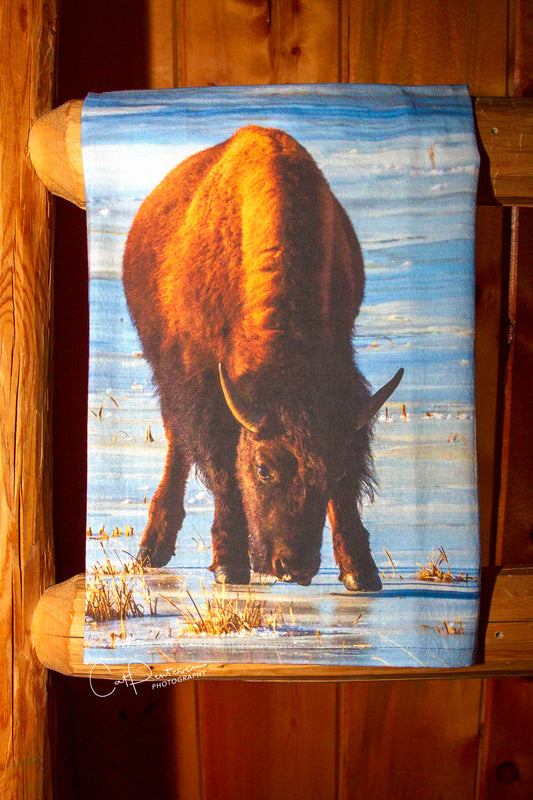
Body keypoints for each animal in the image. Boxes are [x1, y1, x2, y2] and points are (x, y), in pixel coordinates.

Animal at [122, 125, 402, 591]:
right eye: (263, 469)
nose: (295, 568)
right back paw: (152, 549)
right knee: (178, 446)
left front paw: (361, 573)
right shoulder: (200, 381)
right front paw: (228, 566)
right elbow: (221, 470)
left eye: (330, 473)